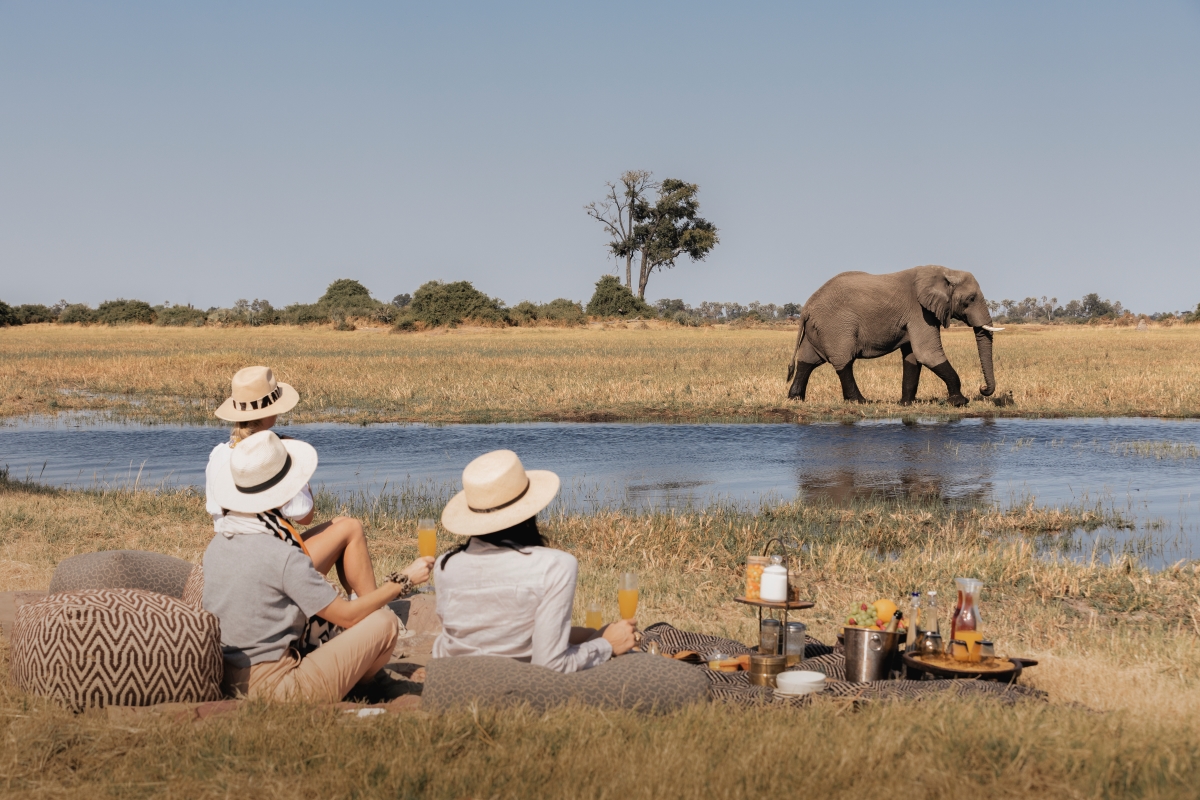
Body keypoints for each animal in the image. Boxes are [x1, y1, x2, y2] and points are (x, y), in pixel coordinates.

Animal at [787, 266, 1003, 407]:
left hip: (817, 328)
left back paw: (795, 399)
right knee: (843, 361)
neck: (945, 271)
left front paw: (906, 404)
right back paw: (861, 402)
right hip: (836, 326)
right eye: (971, 299)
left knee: (807, 360)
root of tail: (807, 306)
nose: (982, 388)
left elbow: (913, 357)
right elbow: (928, 353)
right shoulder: (919, 312)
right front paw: (960, 402)